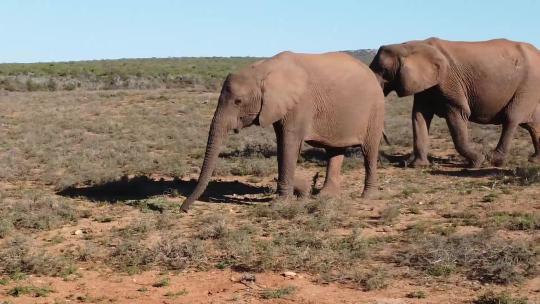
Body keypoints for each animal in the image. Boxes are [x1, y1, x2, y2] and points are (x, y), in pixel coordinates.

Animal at [180, 51, 384, 211]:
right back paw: (326, 196)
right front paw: (300, 190)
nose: (183, 209)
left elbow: (289, 144)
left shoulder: (300, 104)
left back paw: (367, 196)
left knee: (369, 151)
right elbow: (281, 144)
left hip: (375, 110)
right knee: (334, 151)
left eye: (238, 101)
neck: (263, 69)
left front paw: (279, 203)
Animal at [370, 38, 540, 169]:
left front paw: (477, 162)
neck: (406, 45)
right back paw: (534, 159)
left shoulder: (448, 82)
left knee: (511, 118)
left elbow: (459, 113)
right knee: (532, 124)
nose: (387, 144)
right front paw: (417, 166)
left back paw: (494, 160)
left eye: (383, 70)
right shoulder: (426, 85)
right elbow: (419, 116)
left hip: (528, 85)